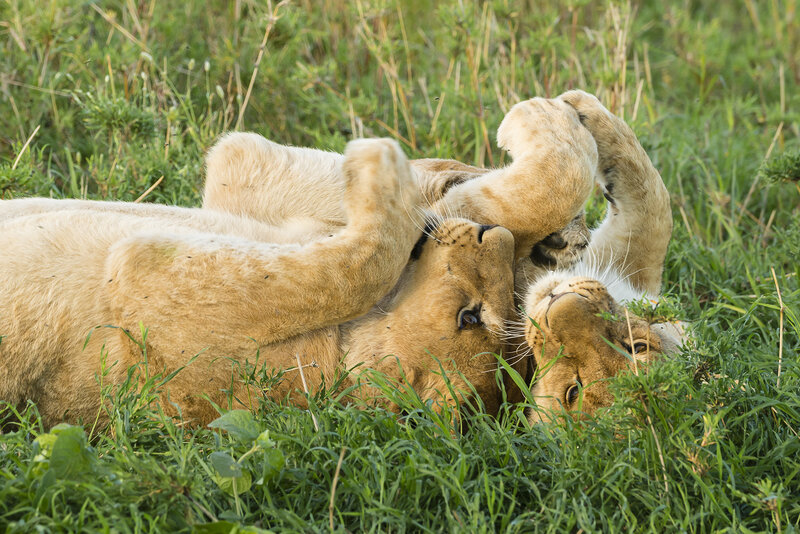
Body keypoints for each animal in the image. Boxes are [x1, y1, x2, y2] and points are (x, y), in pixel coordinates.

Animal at [201, 91, 685, 422]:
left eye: (573, 392)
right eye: (636, 345)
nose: (561, 304)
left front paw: (530, 118)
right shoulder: (626, 261)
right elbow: (653, 203)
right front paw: (582, 110)